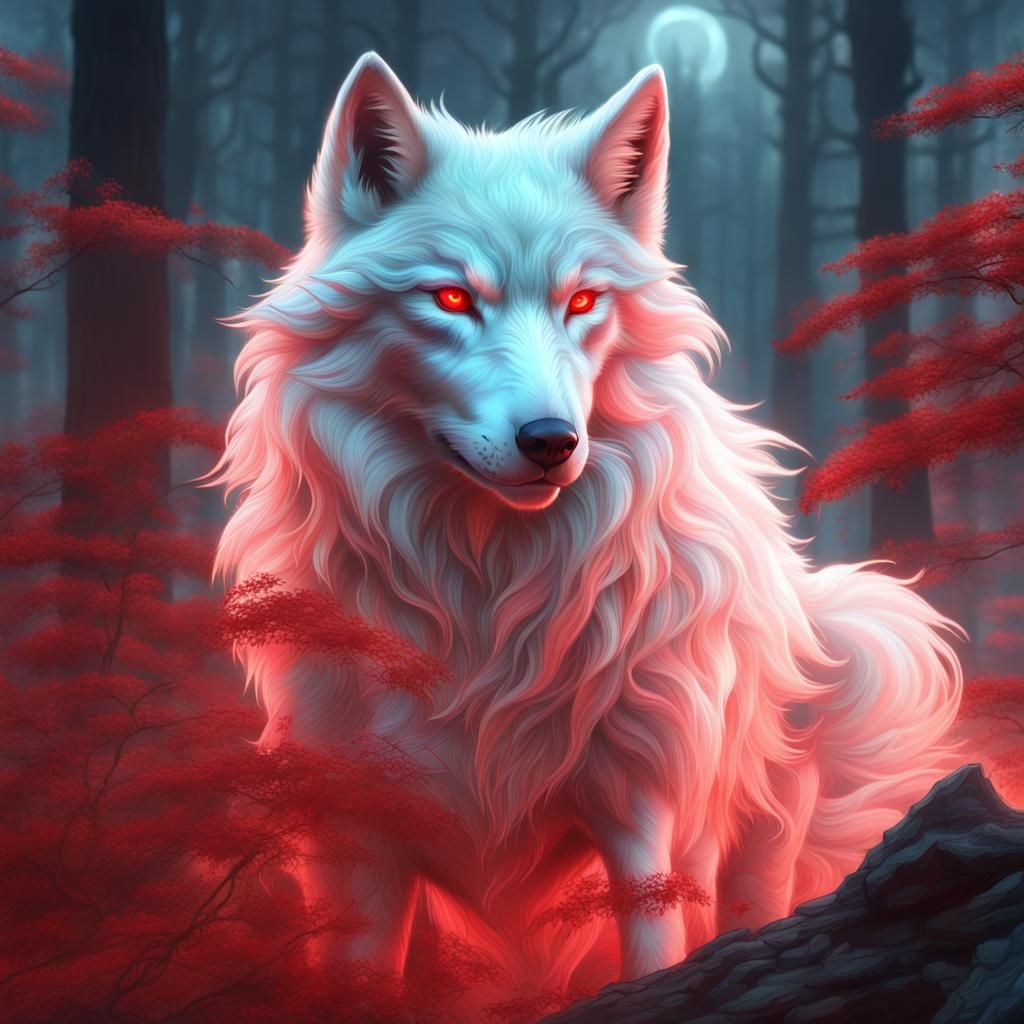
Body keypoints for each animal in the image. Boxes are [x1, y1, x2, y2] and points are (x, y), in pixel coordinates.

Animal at [214, 53, 962, 1015]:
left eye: (581, 301)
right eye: (452, 297)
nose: (552, 441)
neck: (483, 598)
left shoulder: (645, 814)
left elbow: (654, 956)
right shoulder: (354, 828)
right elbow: (354, 977)